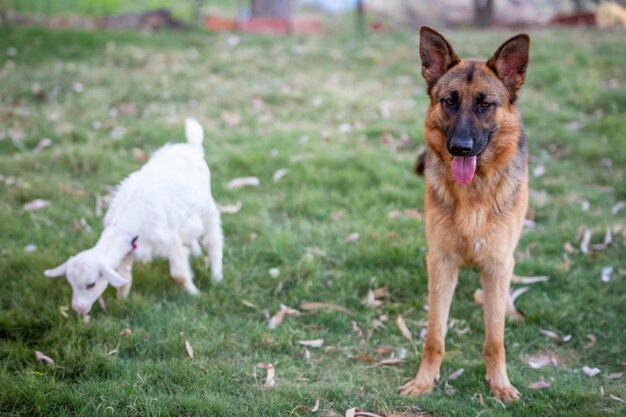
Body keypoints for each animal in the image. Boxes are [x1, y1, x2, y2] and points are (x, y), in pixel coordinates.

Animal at [42, 118, 222, 314]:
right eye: (71, 284)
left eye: (91, 284)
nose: (77, 309)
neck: (123, 228)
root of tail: (190, 146)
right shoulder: (127, 254)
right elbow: (124, 281)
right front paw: (122, 303)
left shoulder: (169, 241)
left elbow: (179, 274)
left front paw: (194, 293)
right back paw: (196, 252)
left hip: (206, 206)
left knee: (213, 240)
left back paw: (217, 276)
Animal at [398, 27, 528, 402]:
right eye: (449, 101)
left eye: (485, 103)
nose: (460, 148)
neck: (473, 192)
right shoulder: (442, 262)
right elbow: (434, 336)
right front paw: (424, 382)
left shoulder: (498, 263)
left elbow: (495, 339)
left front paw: (500, 385)